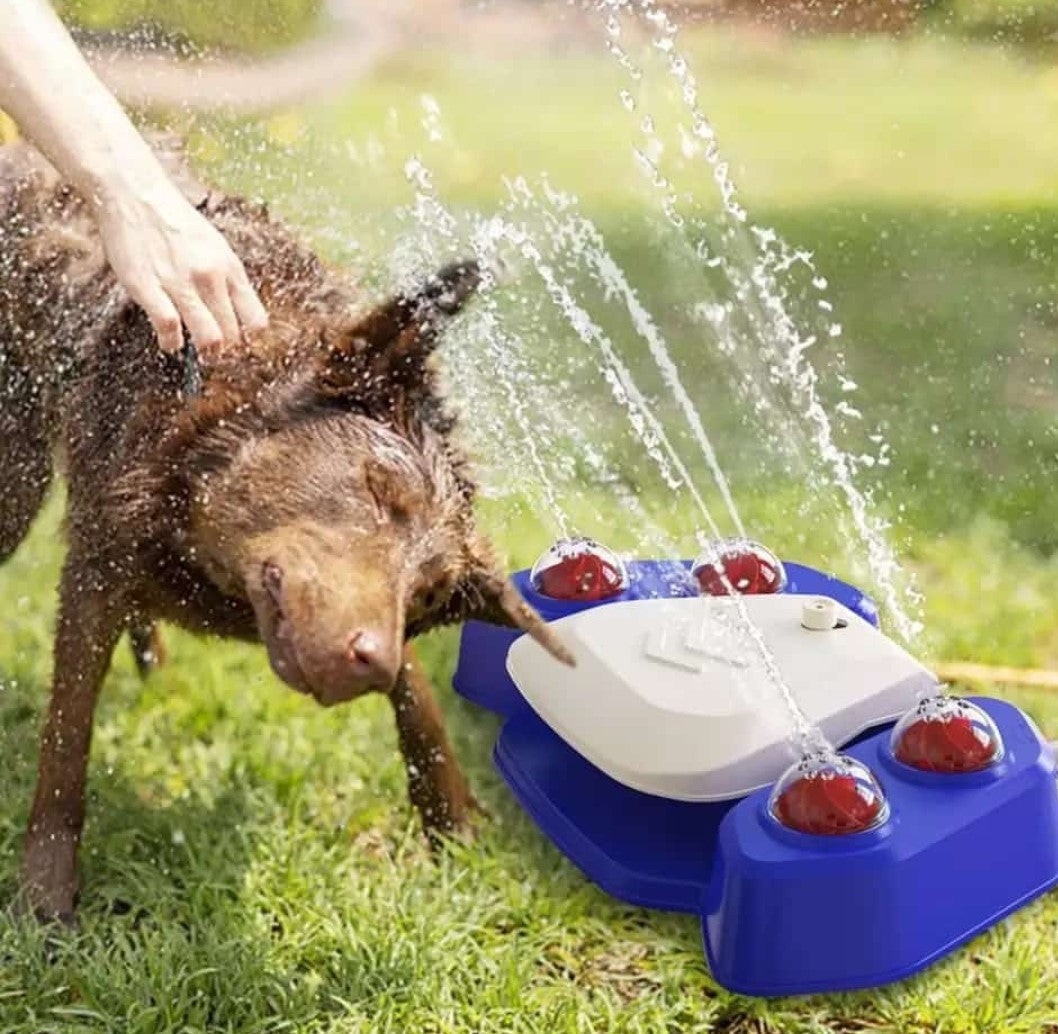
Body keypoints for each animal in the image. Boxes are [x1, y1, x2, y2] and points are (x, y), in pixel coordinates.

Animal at [0, 140, 575, 922]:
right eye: (379, 488)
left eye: (429, 594)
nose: (369, 663)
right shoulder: (101, 557)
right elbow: (67, 737)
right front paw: (45, 903)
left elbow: (420, 701)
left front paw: (454, 831)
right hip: (18, 476)